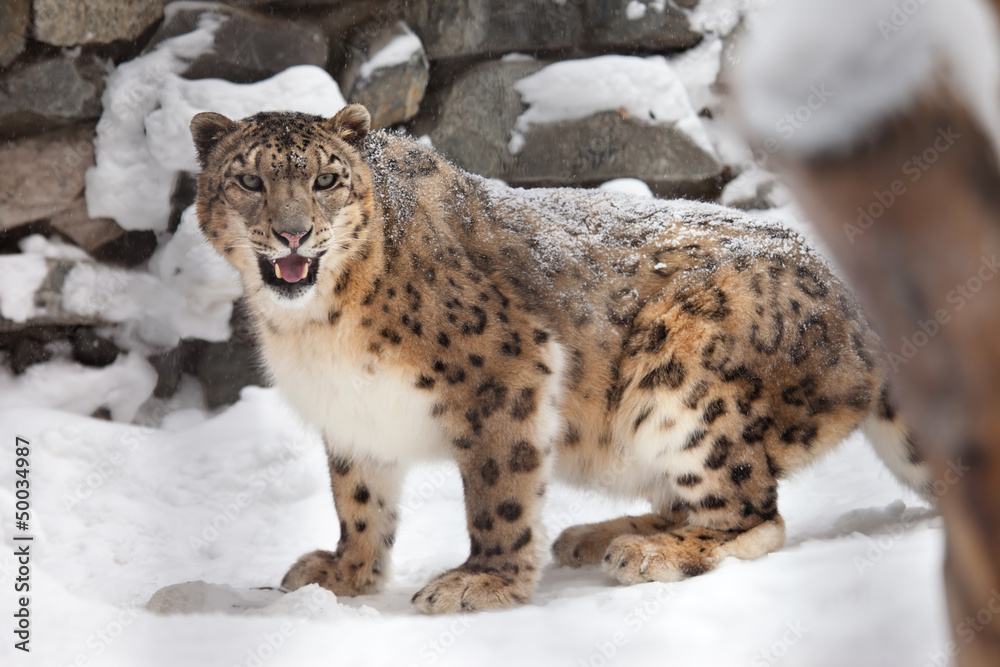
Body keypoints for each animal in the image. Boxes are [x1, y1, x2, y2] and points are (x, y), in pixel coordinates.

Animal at [190, 104, 930, 614]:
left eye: (325, 180)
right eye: (249, 179)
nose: (293, 232)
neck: (315, 329)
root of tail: (853, 304)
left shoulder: (503, 371)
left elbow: (498, 488)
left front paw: (482, 580)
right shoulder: (351, 411)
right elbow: (360, 499)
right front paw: (346, 572)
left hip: (685, 385)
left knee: (753, 513)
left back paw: (645, 550)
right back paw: (598, 533)